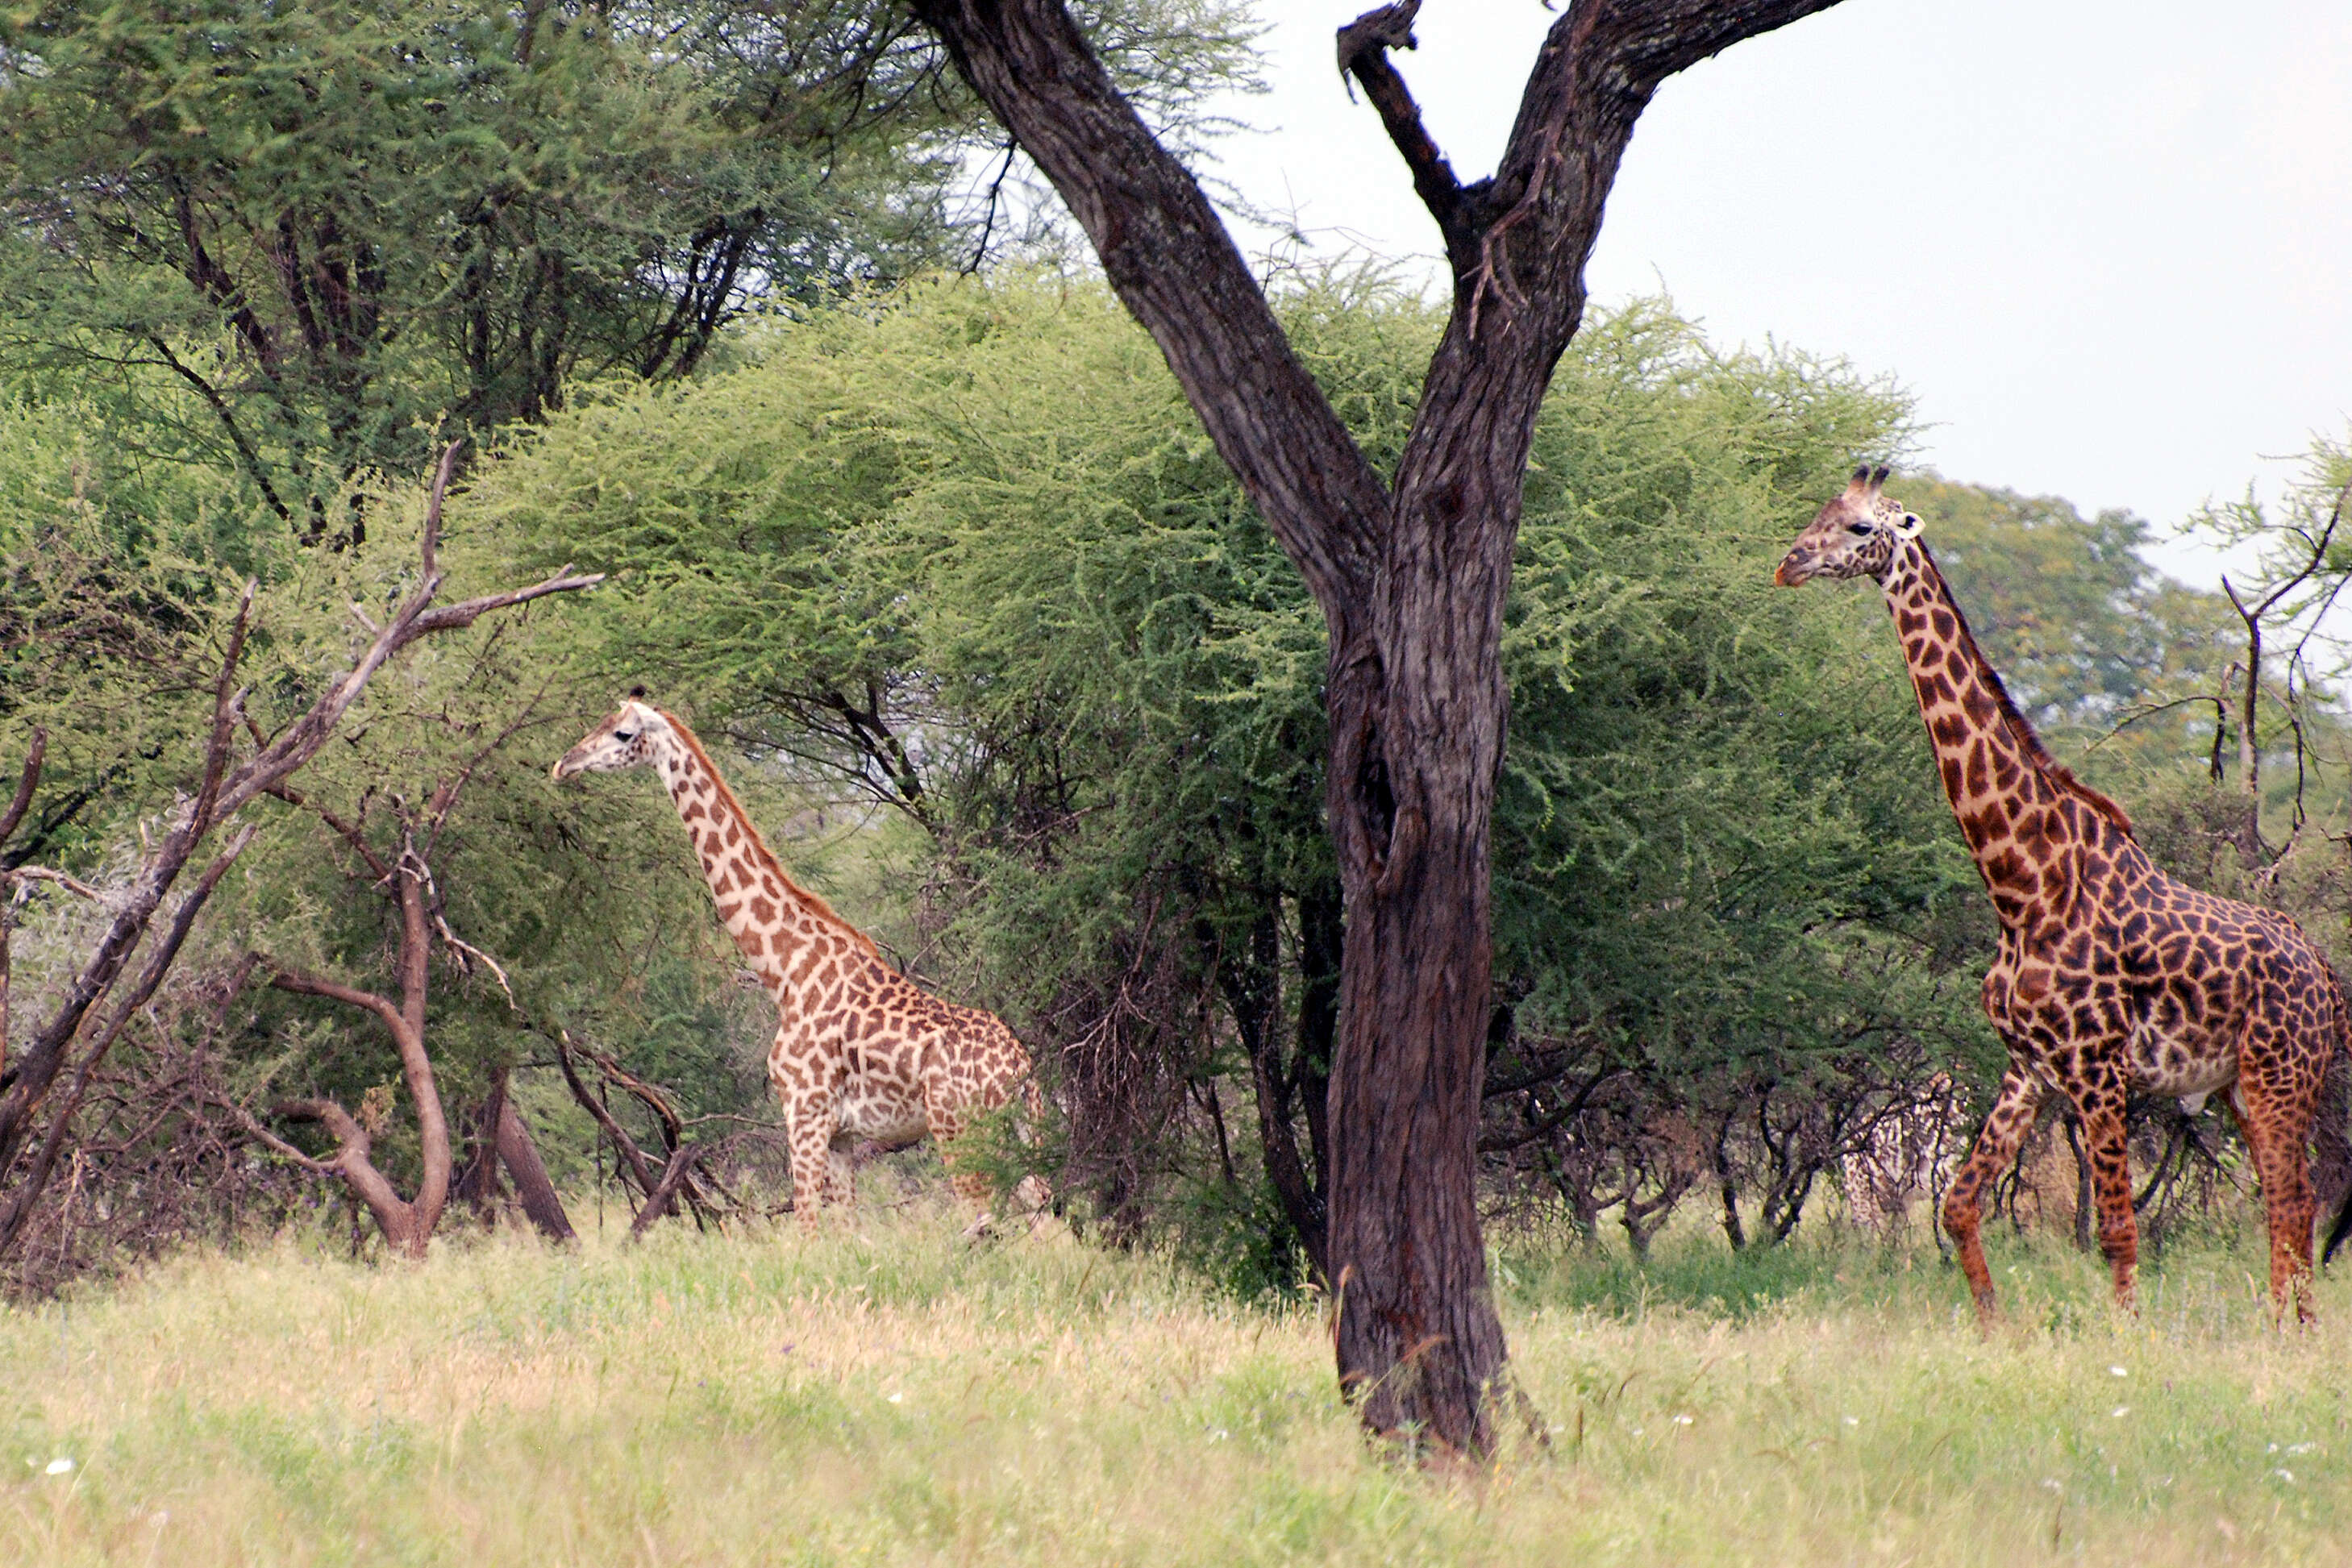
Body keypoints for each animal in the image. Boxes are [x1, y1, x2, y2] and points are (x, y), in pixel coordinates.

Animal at [555, 696, 1044, 1222]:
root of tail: (1020, 1073)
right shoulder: (843, 1137)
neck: (787, 970)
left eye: (622, 734)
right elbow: (846, 1227)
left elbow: (806, 1225)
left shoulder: (804, 1116)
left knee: (989, 1218)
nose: (563, 764)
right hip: (1020, 1135)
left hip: (960, 1133)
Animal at [1778, 465, 2352, 1325]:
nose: (1788, 563)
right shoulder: (2028, 1068)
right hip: (2236, 1089)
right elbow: (1957, 1206)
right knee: (2283, 1202)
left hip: (2280, 1076)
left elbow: (2116, 1227)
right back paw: (2284, 1324)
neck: (2020, 883)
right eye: (1819, 512)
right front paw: (1990, 1327)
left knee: (2294, 1199)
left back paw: (2293, 1330)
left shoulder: (2096, 1069)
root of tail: (2320, 965)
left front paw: (2127, 1338)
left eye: (1857, 528)